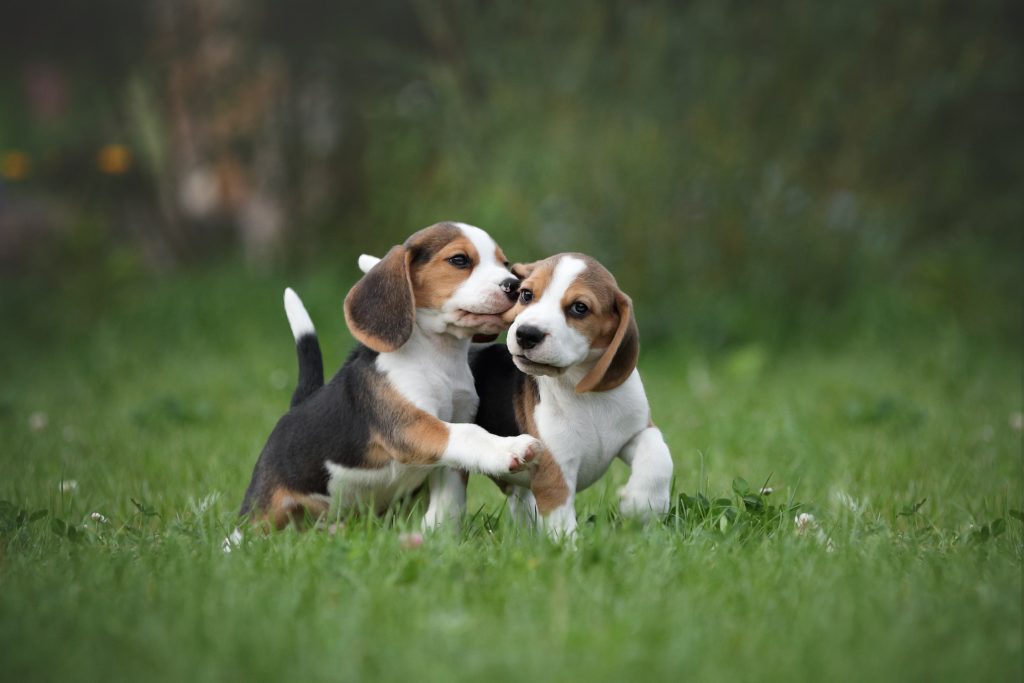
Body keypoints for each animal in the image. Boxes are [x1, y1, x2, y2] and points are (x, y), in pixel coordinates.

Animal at [237, 222, 544, 532]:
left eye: (505, 263)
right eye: (459, 260)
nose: (514, 286)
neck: (439, 356)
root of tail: (296, 407)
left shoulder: (457, 423)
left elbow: (451, 496)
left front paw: (437, 533)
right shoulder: (411, 426)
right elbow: (469, 434)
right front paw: (510, 448)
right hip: (265, 509)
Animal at [468, 253, 671, 540]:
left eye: (579, 308)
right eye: (526, 294)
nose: (526, 333)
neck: (583, 393)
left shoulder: (637, 429)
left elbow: (659, 454)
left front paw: (642, 504)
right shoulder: (554, 472)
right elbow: (562, 525)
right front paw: (569, 548)